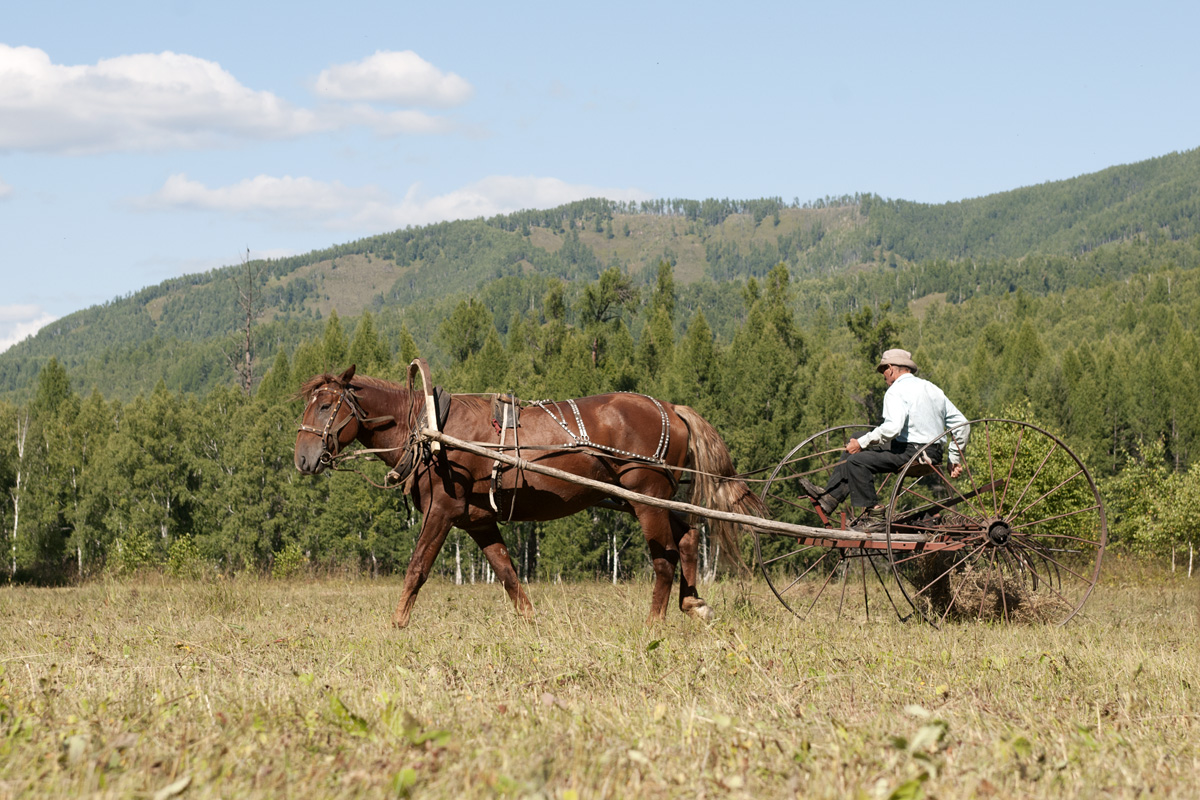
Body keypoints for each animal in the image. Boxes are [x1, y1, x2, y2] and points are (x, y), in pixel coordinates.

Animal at [297, 364, 768, 633]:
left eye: (326, 406)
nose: (303, 458)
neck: (431, 431)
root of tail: (671, 408)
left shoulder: (442, 510)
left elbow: (417, 569)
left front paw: (396, 624)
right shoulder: (477, 519)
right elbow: (507, 574)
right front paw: (531, 621)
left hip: (646, 497)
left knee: (664, 559)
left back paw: (654, 624)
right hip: (654, 499)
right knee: (688, 537)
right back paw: (694, 604)